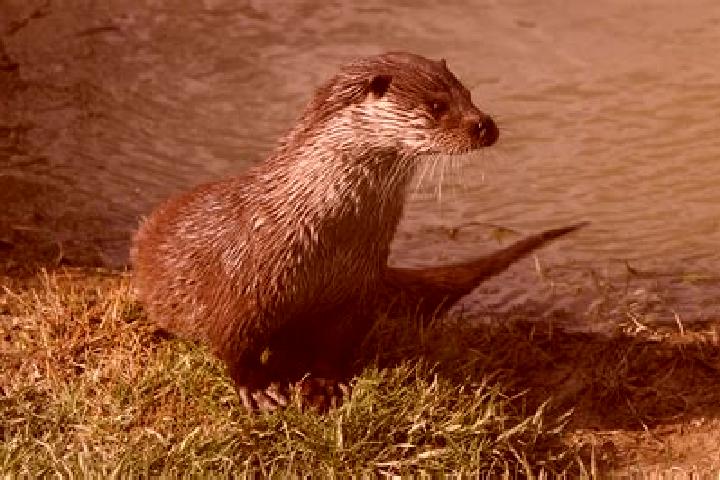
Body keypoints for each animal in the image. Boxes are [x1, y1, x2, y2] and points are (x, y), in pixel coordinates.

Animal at [132, 52, 583, 411]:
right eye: (437, 105)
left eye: (469, 94)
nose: (484, 124)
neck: (324, 239)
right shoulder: (243, 287)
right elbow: (234, 344)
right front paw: (257, 388)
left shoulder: (356, 290)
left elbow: (337, 344)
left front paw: (324, 384)